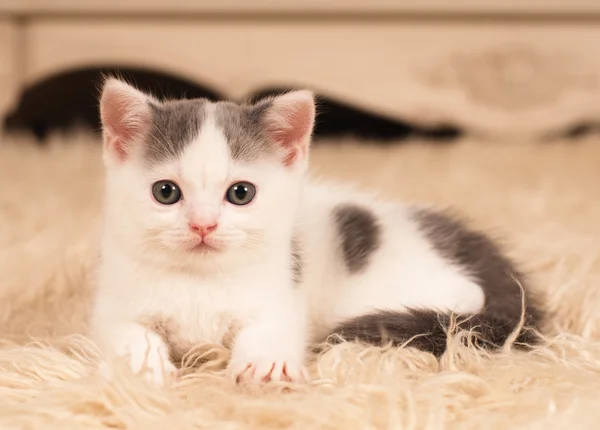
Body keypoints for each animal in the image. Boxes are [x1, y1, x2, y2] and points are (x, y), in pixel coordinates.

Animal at [90, 78, 544, 386]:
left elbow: (274, 328)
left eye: (240, 193)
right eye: (165, 192)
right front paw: (141, 365)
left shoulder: (282, 293)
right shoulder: (112, 301)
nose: (204, 224)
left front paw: (265, 363)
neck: (199, 280)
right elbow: (123, 330)